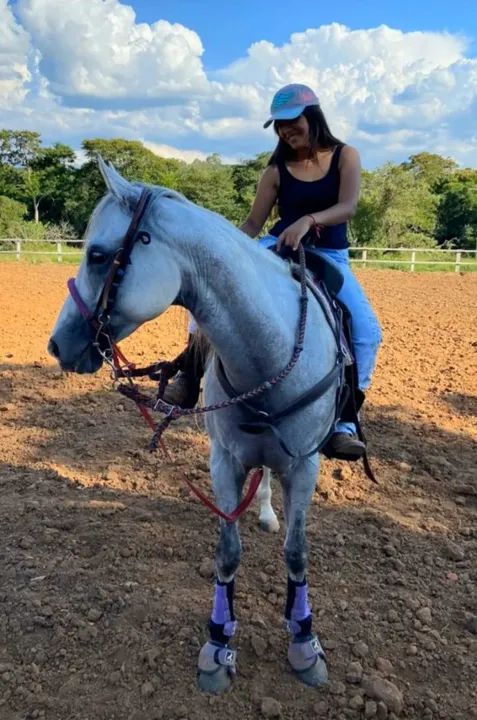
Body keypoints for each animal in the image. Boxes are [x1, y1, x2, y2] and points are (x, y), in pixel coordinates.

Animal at [48, 158, 344, 694]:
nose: (57, 344)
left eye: (99, 255)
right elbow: (227, 553)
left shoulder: (305, 465)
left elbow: (296, 553)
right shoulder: (223, 461)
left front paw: (304, 643)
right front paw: (218, 646)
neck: (267, 349)